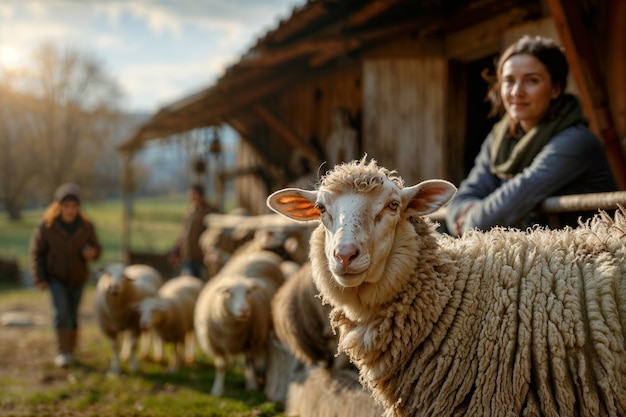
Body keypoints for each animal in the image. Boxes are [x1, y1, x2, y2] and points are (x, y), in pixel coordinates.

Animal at [193, 249, 286, 394]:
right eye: (229, 292)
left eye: (248, 292)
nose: (244, 309)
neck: (231, 330)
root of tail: (256, 253)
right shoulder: (215, 344)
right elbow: (221, 365)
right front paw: (217, 390)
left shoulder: (252, 341)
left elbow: (250, 362)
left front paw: (252, 385)